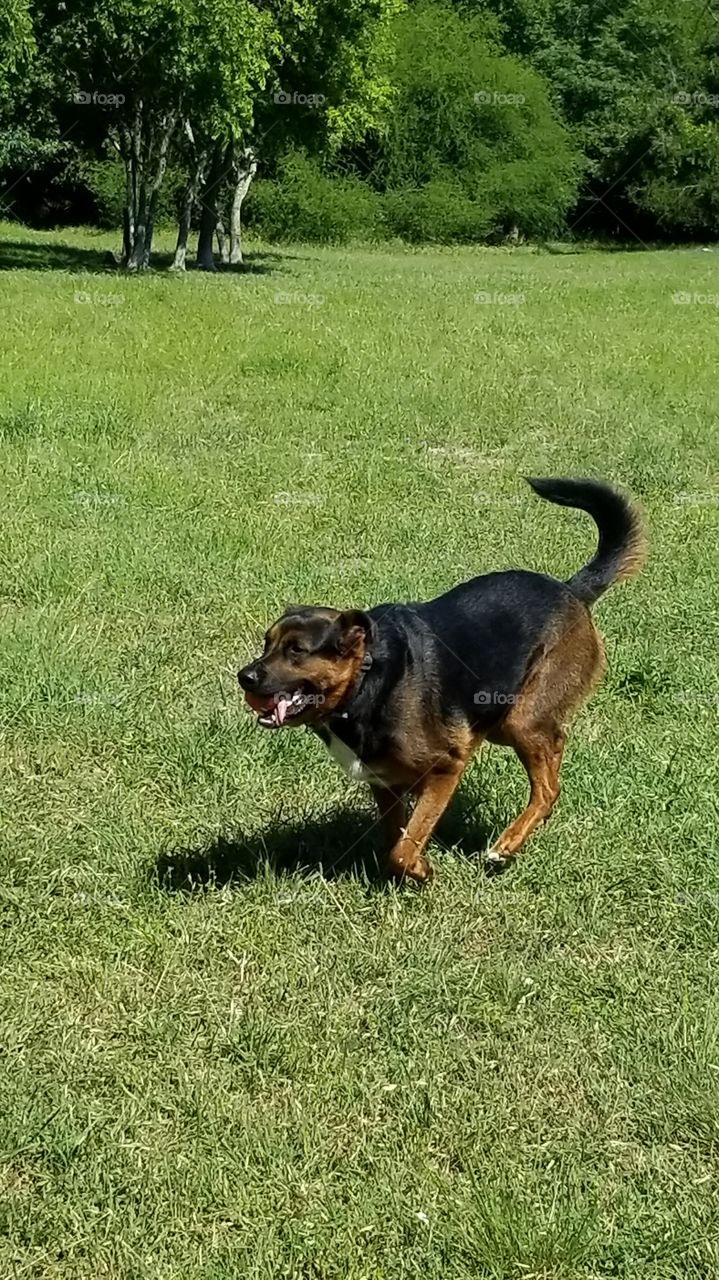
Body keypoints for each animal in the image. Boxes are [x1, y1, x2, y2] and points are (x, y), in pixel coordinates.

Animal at [236, 476, 644, 885]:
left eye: (297, 651)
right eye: (267, 644)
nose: (245, 677)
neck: (365, 684)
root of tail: (571, 590)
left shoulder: (447, 766)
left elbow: (406, 844)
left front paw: (421, 869)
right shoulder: (385, 784)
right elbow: (395, 840)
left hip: (521, 718)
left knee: (547, 789)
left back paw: (505, 845)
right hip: (500, 718)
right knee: (553, 754)